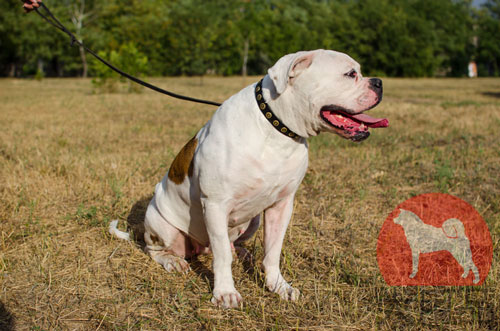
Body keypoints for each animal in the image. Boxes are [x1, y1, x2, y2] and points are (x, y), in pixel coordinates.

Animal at [111, 49, 388, 308]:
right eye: (350, 74)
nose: (379, 82)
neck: (277, 128)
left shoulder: (282, 205)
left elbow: (272, 251)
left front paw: (279, 286)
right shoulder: (215, 204)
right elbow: (221, 255)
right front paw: (225, 293)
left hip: (252, 220)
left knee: (229, 243)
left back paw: (241, 253)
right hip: (163, 226)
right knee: (157, 249)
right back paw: (173, 261)